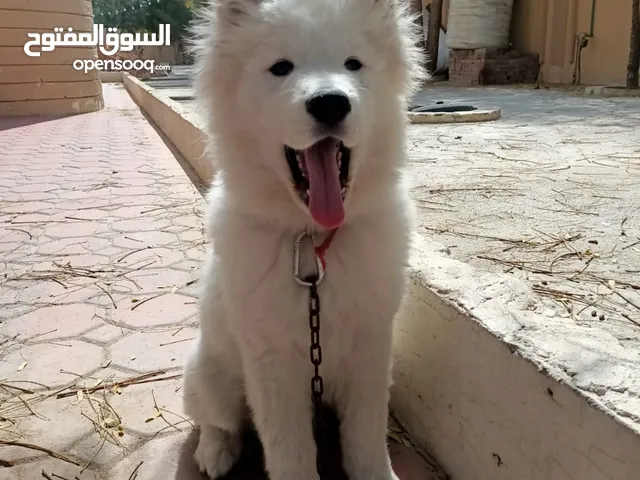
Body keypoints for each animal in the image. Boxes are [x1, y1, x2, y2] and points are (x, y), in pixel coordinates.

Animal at [184, 0, 424, 478]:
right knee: (219, 422)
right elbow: (289, 448)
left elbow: (366, 435)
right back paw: (214, 454)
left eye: (353, 64)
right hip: (207, 374)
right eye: (281, 67)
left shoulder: (372, 344)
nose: (331, 103)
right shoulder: (273, 360)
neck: (312, 240)